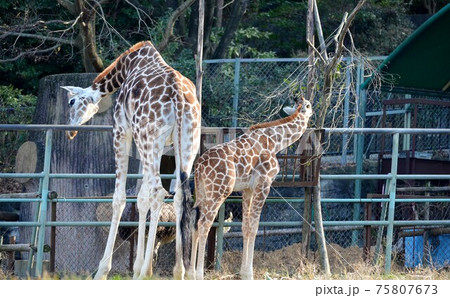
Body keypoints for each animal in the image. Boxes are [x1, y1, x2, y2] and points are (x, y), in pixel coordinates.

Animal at [61, 40, 200, 278]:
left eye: (71, 101)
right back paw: (180, 272)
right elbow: (142, 198)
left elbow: (120, 198)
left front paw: (103, 271)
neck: (128, 65)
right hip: (186, 141)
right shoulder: (164, 146)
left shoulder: (121, 130)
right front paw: (135, 268)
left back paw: (147, 271)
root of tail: (179, 98)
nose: (70, 131)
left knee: (159, 191)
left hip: (150, 138)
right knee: (180, 195)